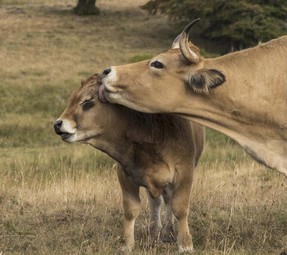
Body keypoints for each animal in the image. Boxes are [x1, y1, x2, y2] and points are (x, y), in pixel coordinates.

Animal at [54, 73, 206, 253]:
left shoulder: (184, 171)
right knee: (157, 203)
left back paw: (168, 232)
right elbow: (130, 210)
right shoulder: (125, 174)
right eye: (71, 99)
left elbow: (180, 208)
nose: (57, 124)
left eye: (87, 102)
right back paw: (155, 232)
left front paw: (185, 245)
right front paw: (127, 245)